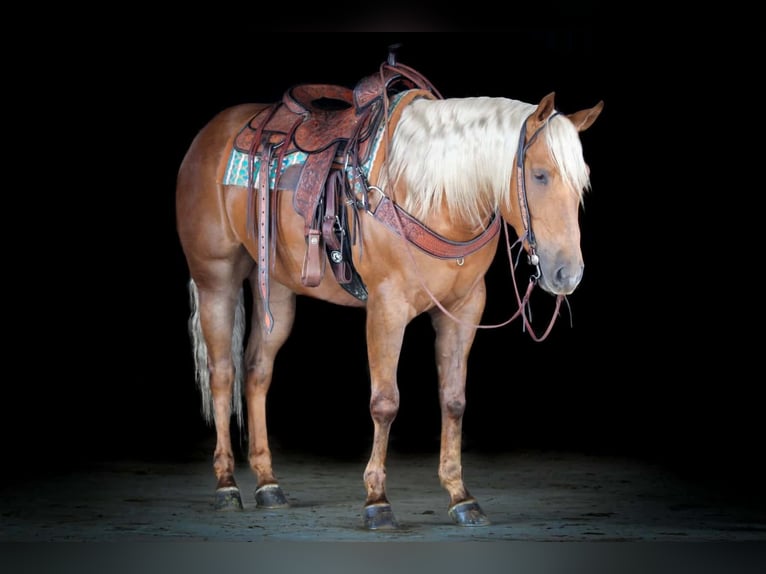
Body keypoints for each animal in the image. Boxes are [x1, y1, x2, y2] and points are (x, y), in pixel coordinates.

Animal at [175, 54, 603, 529]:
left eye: (582, 180)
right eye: (541, 175)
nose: (567, 274)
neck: (435, 193)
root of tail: (209, 135)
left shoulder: (465, 308)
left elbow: (454, 400)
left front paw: (461, 496)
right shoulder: (386, 307)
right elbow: (385, 402)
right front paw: (377, 501)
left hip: (278, 289)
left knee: (256, 372)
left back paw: (268, 484)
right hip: (216, 279)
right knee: (222, 374)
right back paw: (226, 485)